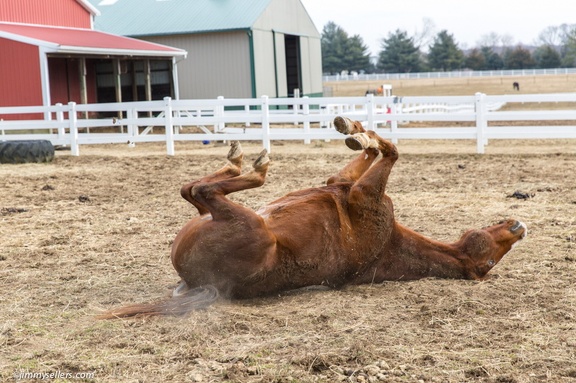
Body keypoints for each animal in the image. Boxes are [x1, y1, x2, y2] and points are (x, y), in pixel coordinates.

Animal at [99, 116, 528, 318]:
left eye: (488, 262)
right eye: (495, 251)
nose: (518, 227)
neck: (389, 241)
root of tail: (202, 284)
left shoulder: (362, 194)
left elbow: (391, 151)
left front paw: (360, 133)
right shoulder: (344, 184)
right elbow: (372, 153)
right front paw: (354, 130)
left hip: (248, 225)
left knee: (200, 191)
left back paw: (249, 165)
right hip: (211, 219)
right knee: (192, 190)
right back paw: (241, 160)